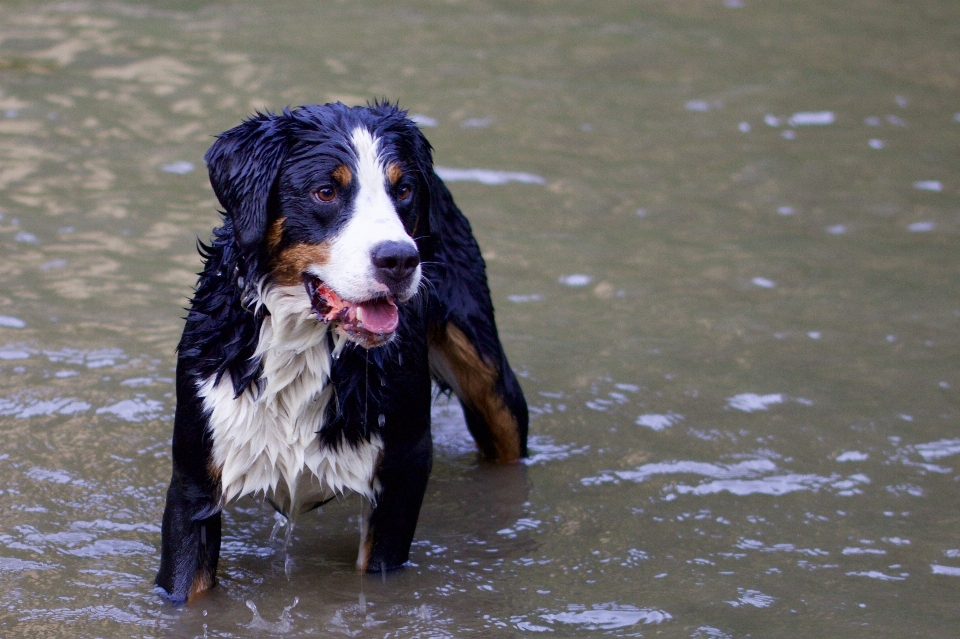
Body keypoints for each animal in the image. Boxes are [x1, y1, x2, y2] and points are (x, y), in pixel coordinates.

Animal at [159, 101, 532, 604]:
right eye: (325, 192)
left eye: (404, 190)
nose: (399, 259)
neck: (304, 346)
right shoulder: (194, 482)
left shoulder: (402, 469)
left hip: (491, 381)